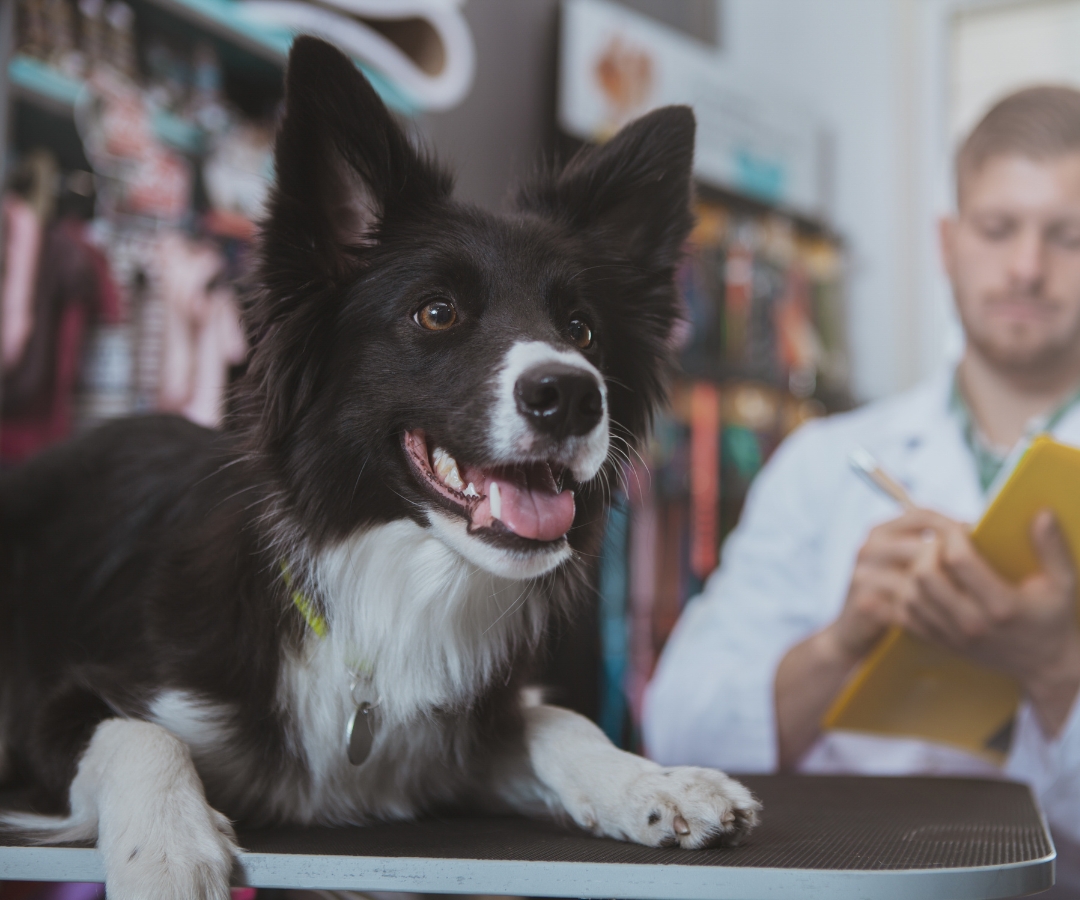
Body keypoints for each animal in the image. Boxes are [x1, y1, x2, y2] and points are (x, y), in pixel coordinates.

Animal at [0, 36, 760, 898]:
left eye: (582, 329)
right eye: (437, 312)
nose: (572, 395)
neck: (386, 583)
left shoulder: (450, 735)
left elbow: (555, 716)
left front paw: (655, 781)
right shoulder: (57, 705)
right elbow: (135, 733)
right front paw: (166, 847)